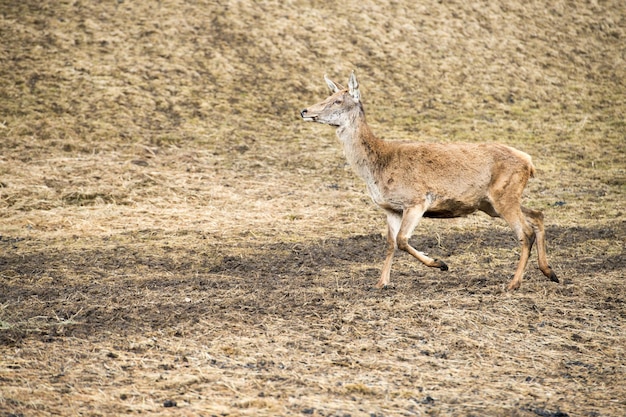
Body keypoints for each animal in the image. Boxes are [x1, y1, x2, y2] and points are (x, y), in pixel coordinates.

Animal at [298, 71, 556, 290]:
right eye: (328, 95)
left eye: (337, 100)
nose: (304, 110)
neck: (376, 168)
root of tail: (529, 163)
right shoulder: (391, 208)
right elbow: (390, 243)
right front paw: (381, 282)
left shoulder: (416, 200)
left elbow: (402, 240)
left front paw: (440, 263)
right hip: (492, 203)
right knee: (538, 215)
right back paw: (549, 272)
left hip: (503, 195)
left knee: (525, 232)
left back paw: (514, 283)